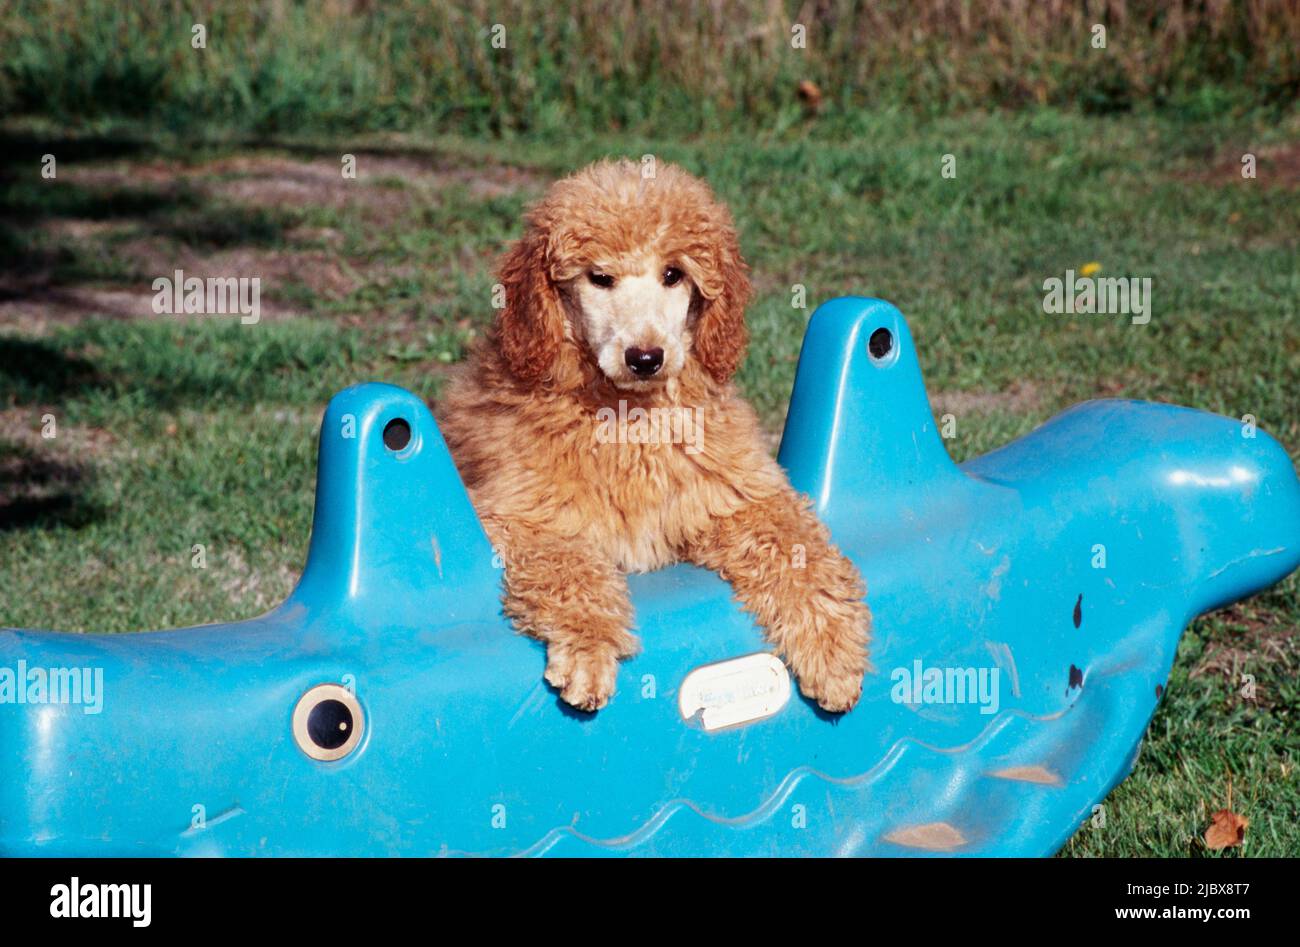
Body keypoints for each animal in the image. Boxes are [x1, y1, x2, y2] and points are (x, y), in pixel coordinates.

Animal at [439, 160, 873, 707]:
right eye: (599, 277)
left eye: (674, 274)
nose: (645, 357)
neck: (629, 415)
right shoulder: (518, 518)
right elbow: (566, 564)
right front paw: (588, 646)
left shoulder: (736, 497)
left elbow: (796, 547)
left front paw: (831, 647)